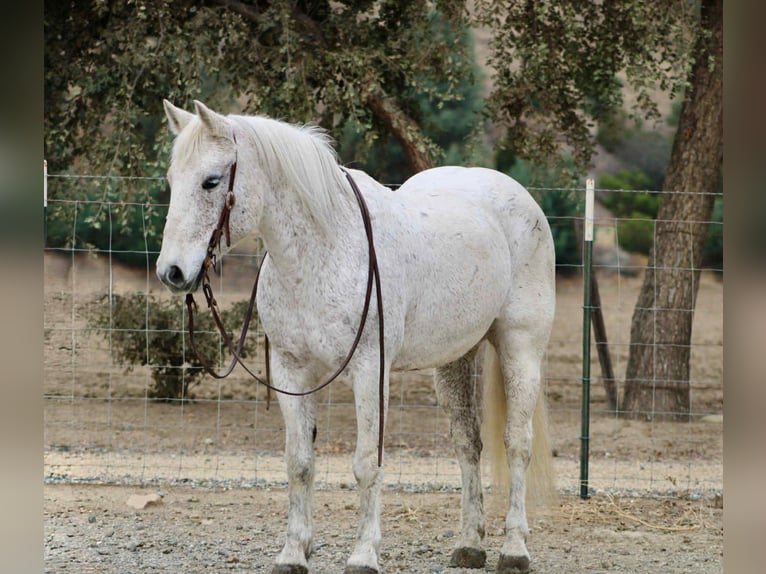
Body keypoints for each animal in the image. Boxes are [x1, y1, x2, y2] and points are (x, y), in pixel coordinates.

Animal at [156, 99, 556, 574]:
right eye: (172, 180)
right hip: (455, 359)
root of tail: (518, 196)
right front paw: (293, 553)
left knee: (517, 444)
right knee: (467, 443)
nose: (172, 272)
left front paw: (364, 555)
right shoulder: (291, 371)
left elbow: (367, 463)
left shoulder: (369, 371)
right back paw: (469, 545)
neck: (322, 253)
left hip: (520, 350)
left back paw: (514, 549)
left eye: (211, 181)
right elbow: (299, 463)